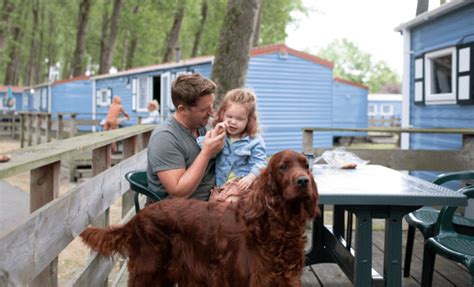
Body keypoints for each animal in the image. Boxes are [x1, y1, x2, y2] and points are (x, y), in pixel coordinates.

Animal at [81, 151, 320, 287]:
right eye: (283, 167)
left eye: (306, 165)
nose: (303, 181)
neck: (276, 226)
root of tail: (138, 217)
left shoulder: (286, 279)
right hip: (148, 270)